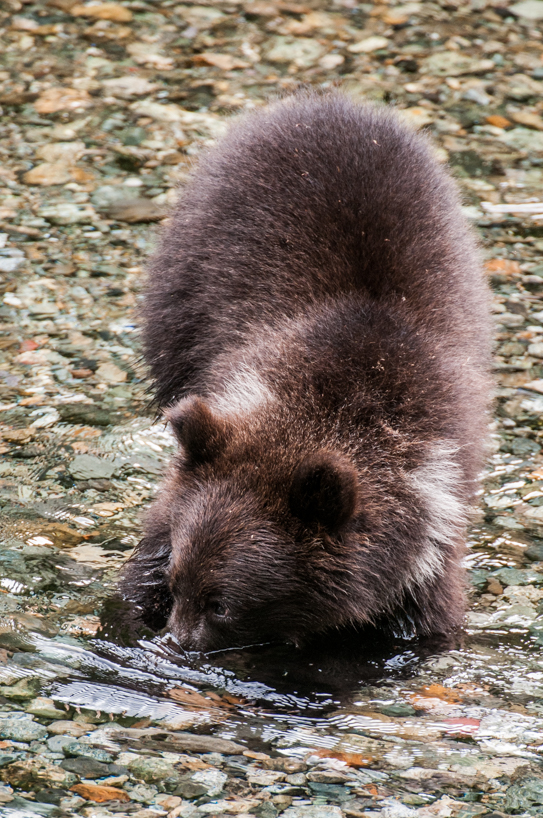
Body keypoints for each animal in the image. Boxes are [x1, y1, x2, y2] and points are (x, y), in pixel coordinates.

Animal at [119, 91, 492, 652]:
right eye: (177, 582)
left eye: (222, 604)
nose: (176, 646)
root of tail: (323, 100)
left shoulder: (429, 543)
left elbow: (423, 628)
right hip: (183, 291)